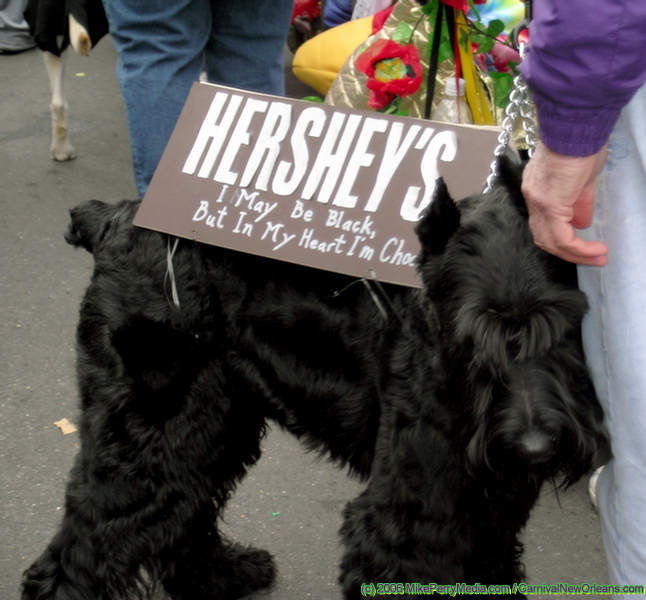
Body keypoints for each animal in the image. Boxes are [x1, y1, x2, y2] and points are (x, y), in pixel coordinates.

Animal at [21, 158, 607, 600]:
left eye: (564, 328)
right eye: (470, 339)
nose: (533, 447)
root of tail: (112, 219)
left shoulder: (491, 515)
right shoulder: (410, 520)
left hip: (210, 424)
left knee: (183, 508)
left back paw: (223, 577)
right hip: (148, 429)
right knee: (85, 544)